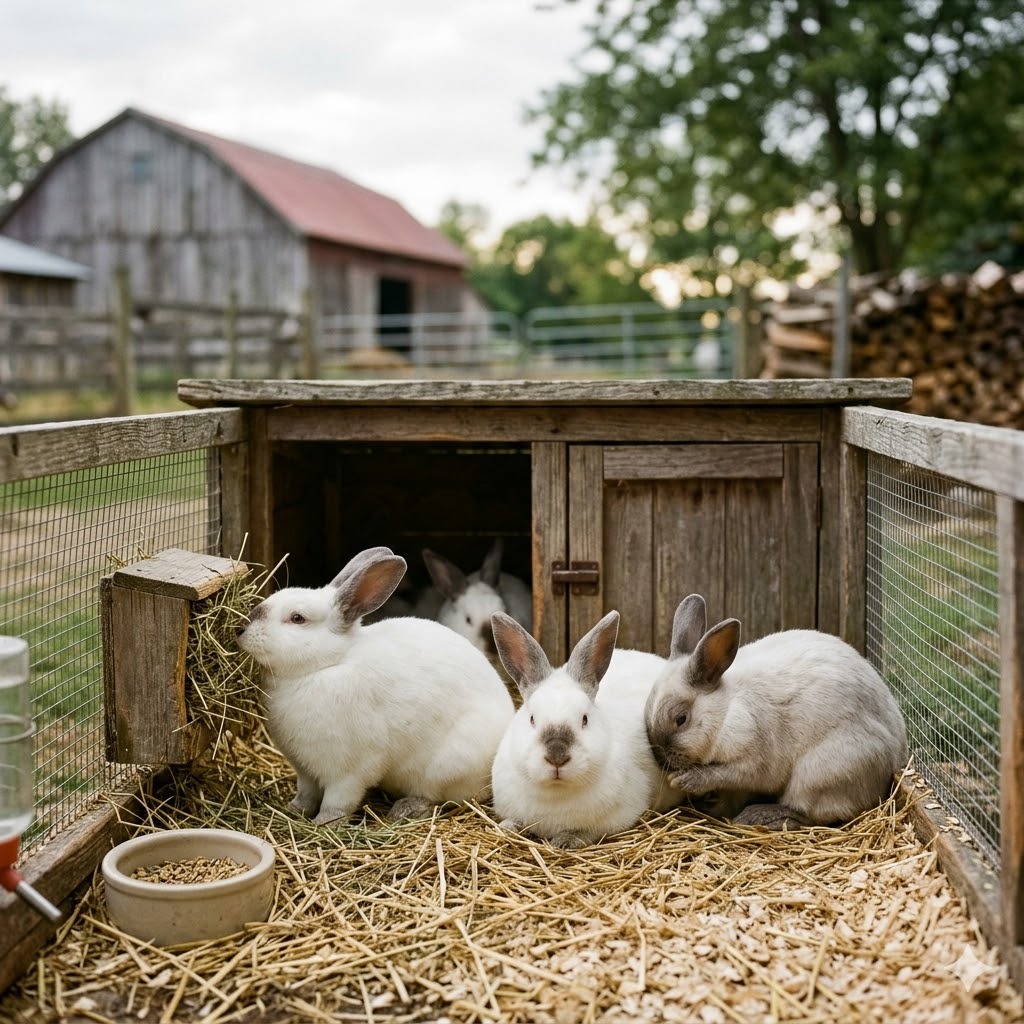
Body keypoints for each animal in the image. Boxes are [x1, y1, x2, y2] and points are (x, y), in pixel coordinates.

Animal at [236, 546, 516, 825]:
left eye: (297, 618)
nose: (241, 628)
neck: (325, 666)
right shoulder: (304, 769)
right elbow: (306, 794)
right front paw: (293, 809)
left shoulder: (348, 772)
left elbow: (337, 803)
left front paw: (322, 824)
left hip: (447, 768)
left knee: (437, 797)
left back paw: (405, 809)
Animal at [489, 609, 682, 849]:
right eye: (532, 719)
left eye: (584, 719)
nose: (557, 757)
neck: (556, 793)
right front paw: (506, 827)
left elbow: (586, 832)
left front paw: (564, 841)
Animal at [644, 594, 909, 830]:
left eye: (681, 720)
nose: (660, 758)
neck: (727, 711)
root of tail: (897, 757)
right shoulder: (738, 785)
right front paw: (709, 806)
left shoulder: (751, 760)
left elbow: (723, 774)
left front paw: (685, 781)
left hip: (821, 775)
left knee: (809, 813)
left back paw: (760, 816)